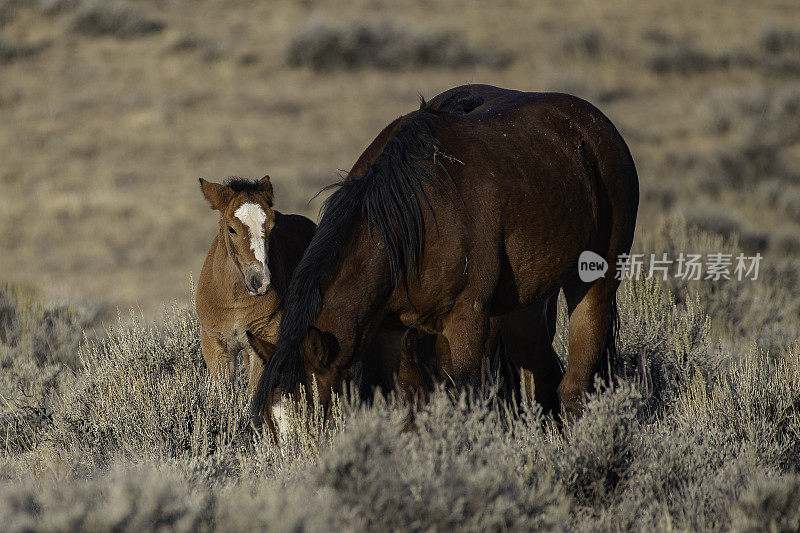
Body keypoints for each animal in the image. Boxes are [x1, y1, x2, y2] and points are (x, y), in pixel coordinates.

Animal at [253, 84, 640, 432]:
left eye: (316, 420)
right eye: (271, 427)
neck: (407, 222)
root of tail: (592, 125)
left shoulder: (466, 320)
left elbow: (467, 404)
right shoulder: (388, 330)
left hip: (594, 283)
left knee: (574, 388)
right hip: (525, 306)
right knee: (544, 378)